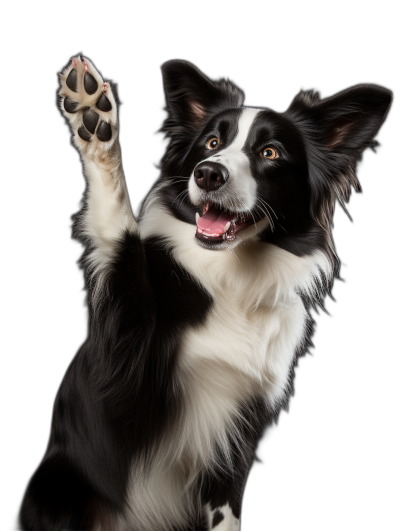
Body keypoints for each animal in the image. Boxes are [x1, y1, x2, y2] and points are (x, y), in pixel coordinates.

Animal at [20, 56, 392, 528]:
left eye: (270, 153)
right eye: (212, 142)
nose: (209, 172)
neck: (231, 281)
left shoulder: (238, 433)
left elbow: (225, 508)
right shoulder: (118, 381)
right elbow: (123, 241)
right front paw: (95, 121)